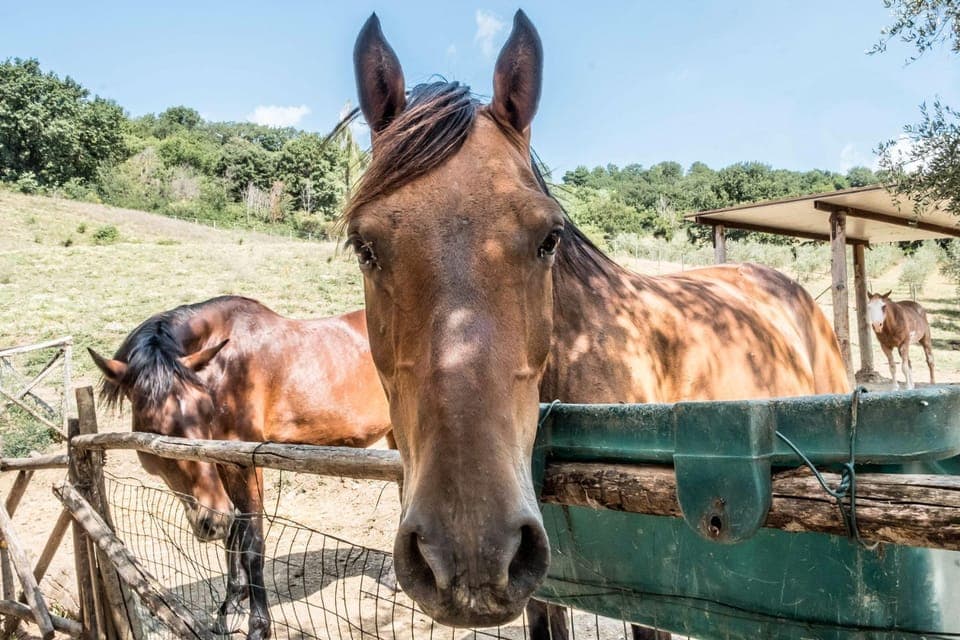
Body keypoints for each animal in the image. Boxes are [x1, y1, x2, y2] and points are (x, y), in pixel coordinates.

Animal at [89, 295, 391, 640]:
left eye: (204, 411)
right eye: (154, 426)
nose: (211, 520)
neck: (226, 366)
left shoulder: (245, 462)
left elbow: (251, 541)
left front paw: (258, 625)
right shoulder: (219, 461)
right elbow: (233, 534)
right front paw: (231, 604)